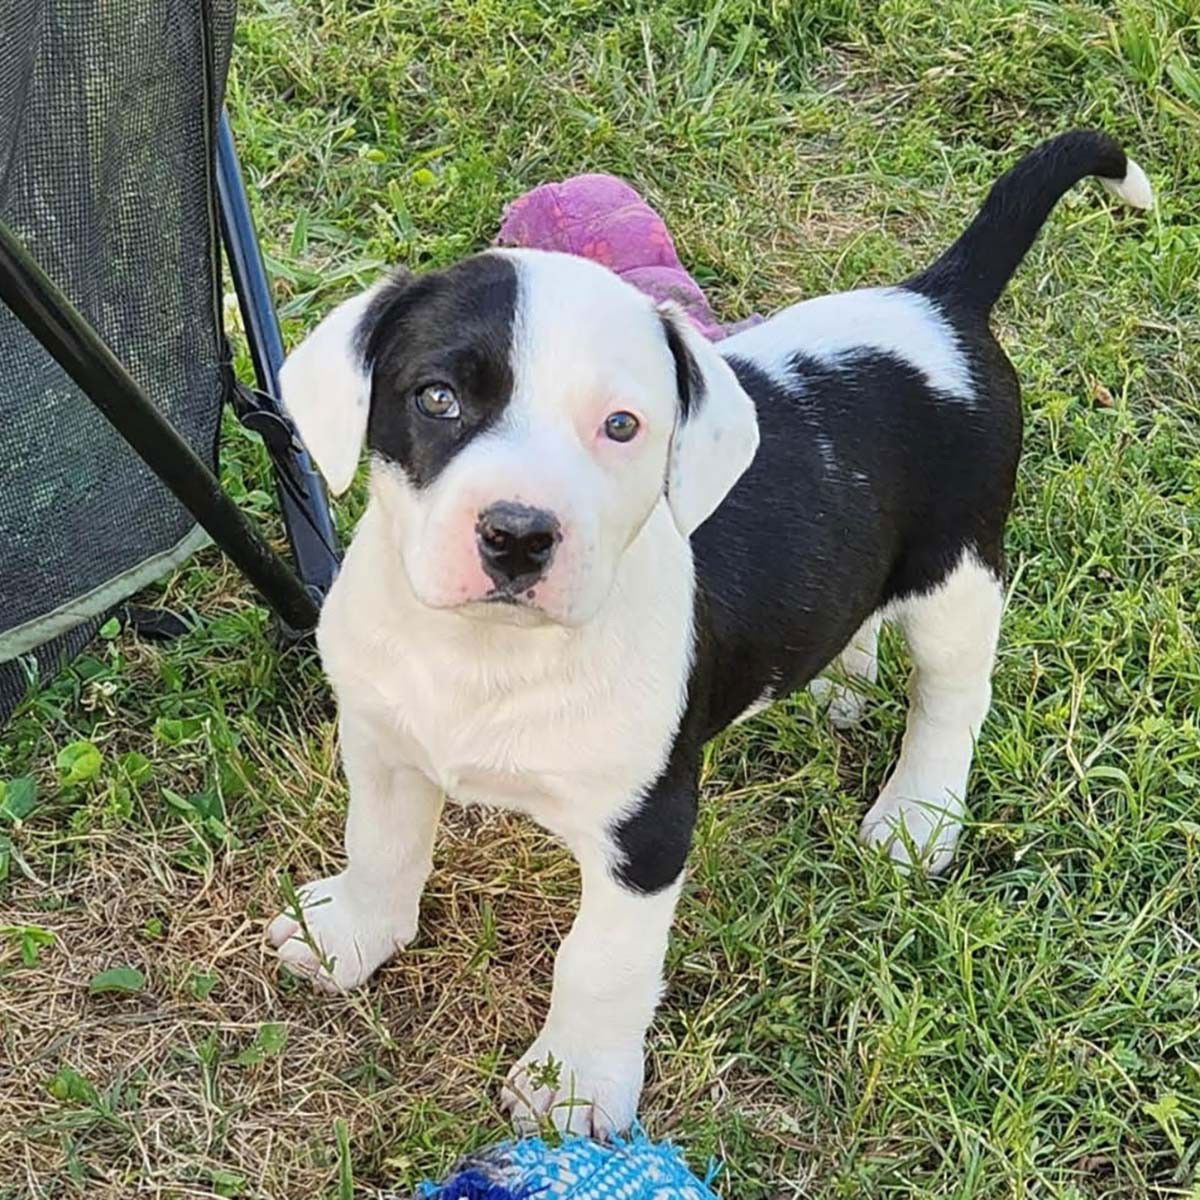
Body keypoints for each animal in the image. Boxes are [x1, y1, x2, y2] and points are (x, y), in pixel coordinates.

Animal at [265, 133, 1152, 1132]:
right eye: (438, 398)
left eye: (622, 426)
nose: (519, 535)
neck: (488, 653)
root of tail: (936, 302)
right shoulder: (382, 745)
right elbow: (380, 846)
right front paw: (348, 937)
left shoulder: (647, 835)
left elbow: (600, 965)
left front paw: (575, 1085)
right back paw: (839, 684)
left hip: (955, 571)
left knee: (954, 696)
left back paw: (918, 816)